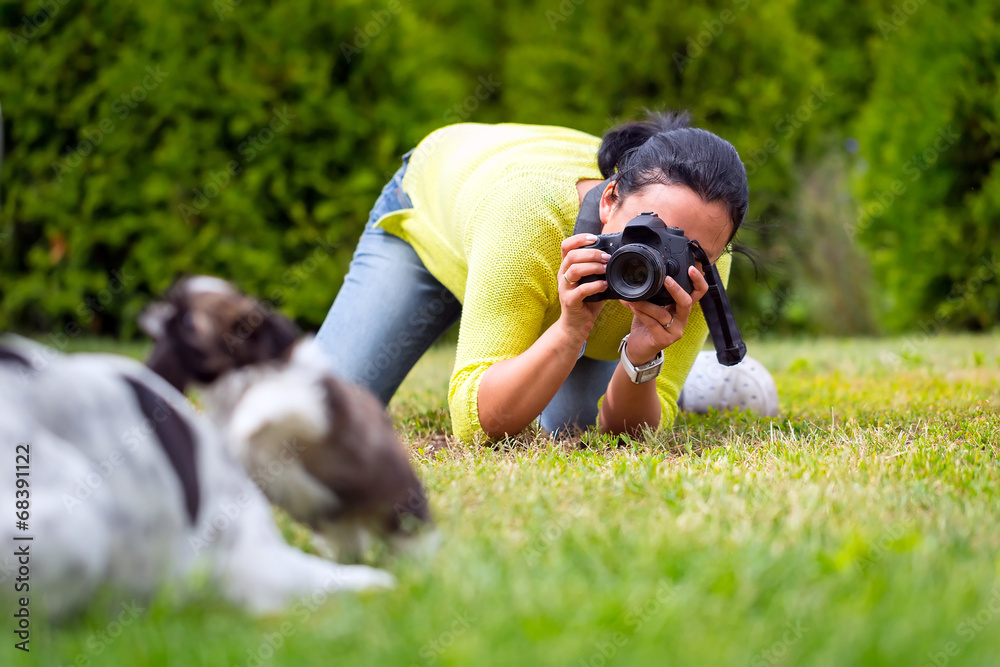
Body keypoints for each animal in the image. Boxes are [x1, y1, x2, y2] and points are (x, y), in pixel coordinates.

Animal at [139, 276, 436, 564]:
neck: (241, 374)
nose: (150, 313)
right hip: (338, 526)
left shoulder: (308, 406)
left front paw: (246, 421)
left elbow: (268, 398)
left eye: (188, 322)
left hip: (398, 509)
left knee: (412, 538)